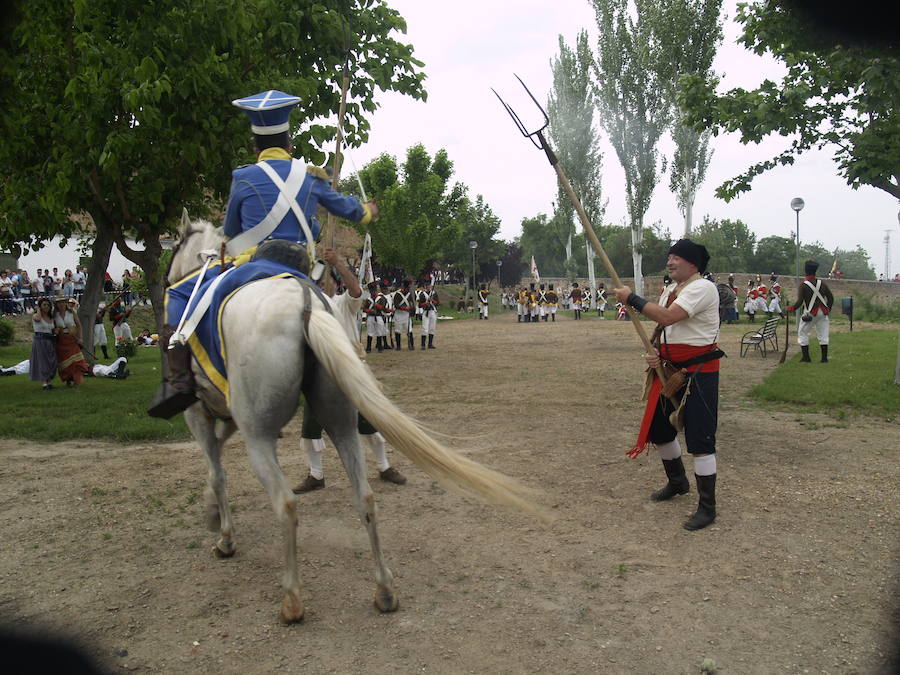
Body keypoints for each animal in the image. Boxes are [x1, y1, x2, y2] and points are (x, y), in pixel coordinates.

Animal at [169, 215, 544, 624]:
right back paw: (382, 586)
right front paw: (212, 515)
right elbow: (218, 460)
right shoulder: (223, 411)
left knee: (286, 503)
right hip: (334, 418)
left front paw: (221, 532)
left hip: (261, 435)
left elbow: (217, 471)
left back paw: (292, 598)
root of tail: (305, 307)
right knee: (359, 491)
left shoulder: (201, 414)